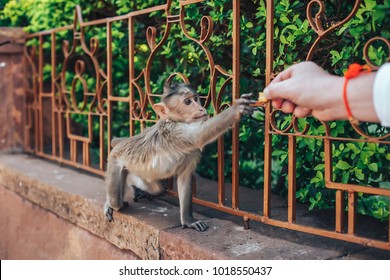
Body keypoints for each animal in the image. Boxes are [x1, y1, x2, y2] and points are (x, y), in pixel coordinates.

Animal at [104, 83, 256, 232]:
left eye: (196, 98)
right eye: (187, 102)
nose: (201, 108)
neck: (176, 121)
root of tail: (121, 145)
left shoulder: (192, 153)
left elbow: (185, 177)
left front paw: (189, 221)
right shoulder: (176, 132)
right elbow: (198, 136)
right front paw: (237, 109)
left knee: (158, 188)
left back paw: (137, 188)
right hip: (115, 160)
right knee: (117, 201)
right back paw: (111, 204)